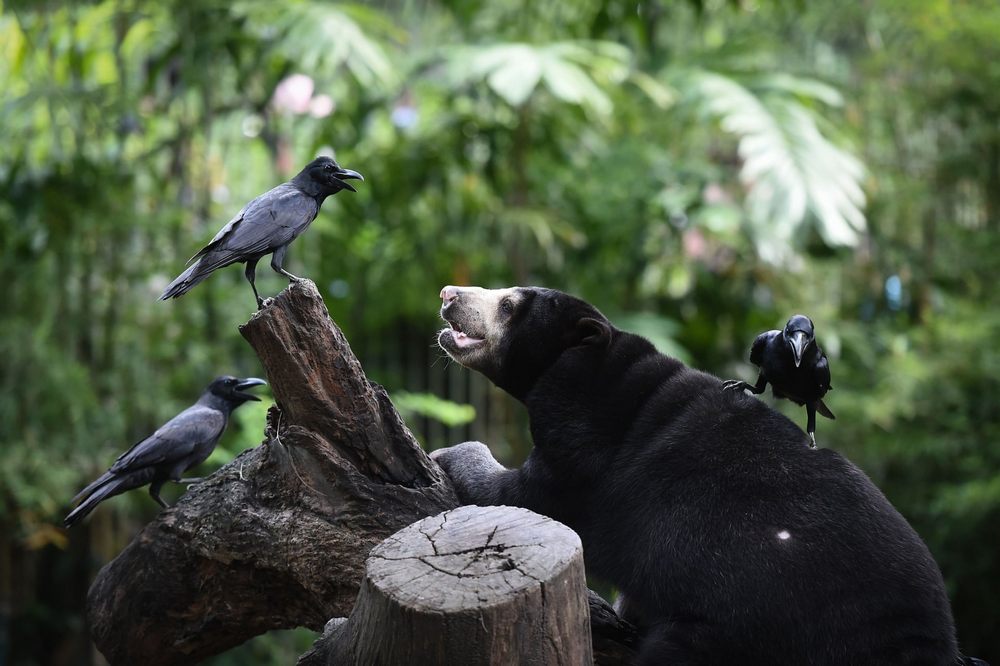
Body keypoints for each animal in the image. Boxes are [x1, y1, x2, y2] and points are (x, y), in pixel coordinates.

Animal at [430, 284, 960, 664]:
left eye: (509, 305)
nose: (447, 294)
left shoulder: (585, 448)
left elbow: (529, 494)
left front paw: (448, 453)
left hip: (741, 622)